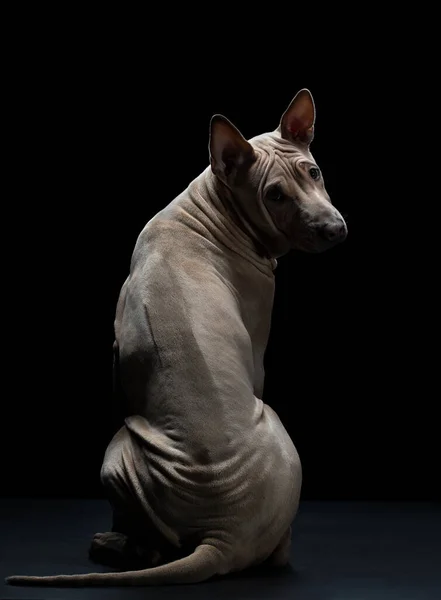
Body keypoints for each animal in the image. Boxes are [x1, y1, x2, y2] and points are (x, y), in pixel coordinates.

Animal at [5, 88, 346, 584]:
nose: (334, 230)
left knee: (159, 548)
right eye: (275, 195)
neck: (211, 207)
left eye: (314, 172)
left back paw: (115, 543)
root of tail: (224, 538)